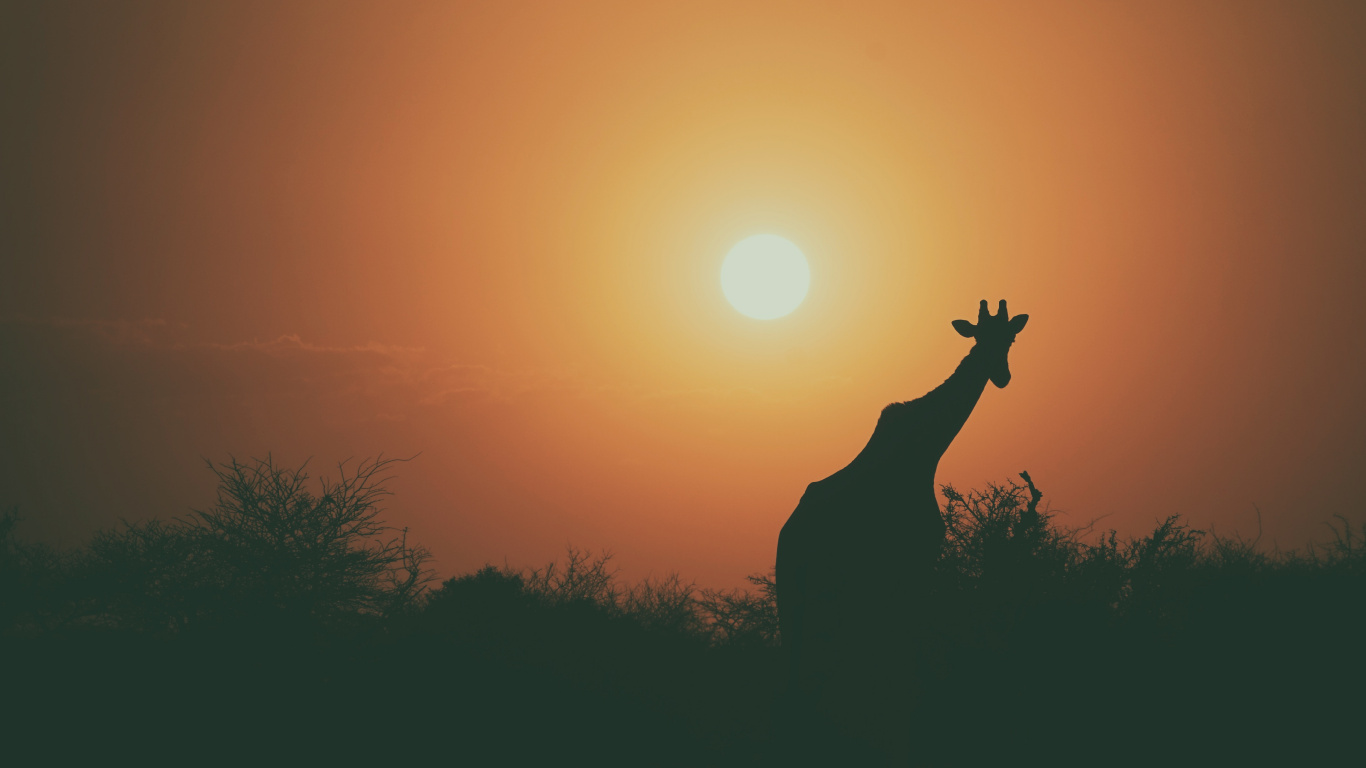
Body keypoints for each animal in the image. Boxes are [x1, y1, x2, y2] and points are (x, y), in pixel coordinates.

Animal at [775, 299, 1029, 758]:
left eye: (1011, 338)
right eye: (980, 337)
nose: (1001, 376)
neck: (928, 448)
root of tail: (790, 538)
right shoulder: (916, 560)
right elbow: (906, 666)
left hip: (796, 593)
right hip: (823, 592)